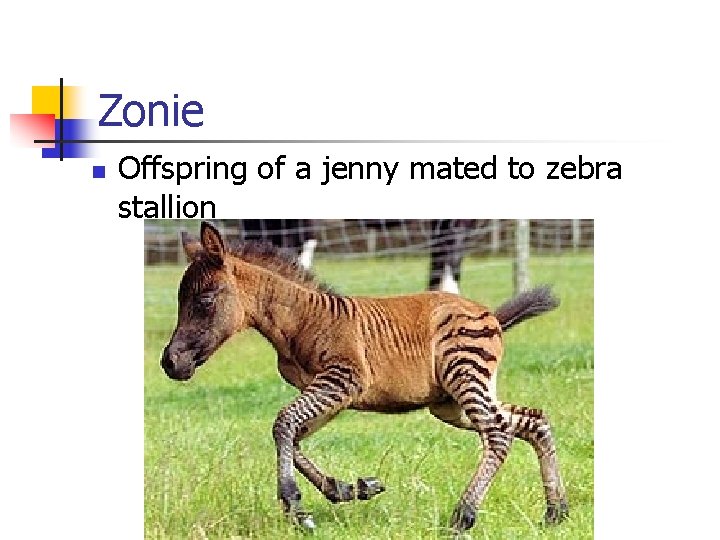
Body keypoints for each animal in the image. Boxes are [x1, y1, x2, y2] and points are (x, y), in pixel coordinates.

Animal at [161, 222, 568, 535]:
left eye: (204, 301)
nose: (169, 363)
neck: (300, 319)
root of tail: (490, 315)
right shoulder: (332, 393)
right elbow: (293, 438)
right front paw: (348, 489)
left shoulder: (342, 380)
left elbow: (284, 424)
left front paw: (296, 508)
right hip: (451, 402)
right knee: (530, 422)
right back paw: (556, 512)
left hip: (464, 379)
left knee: (499, 434)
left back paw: (463, 516)